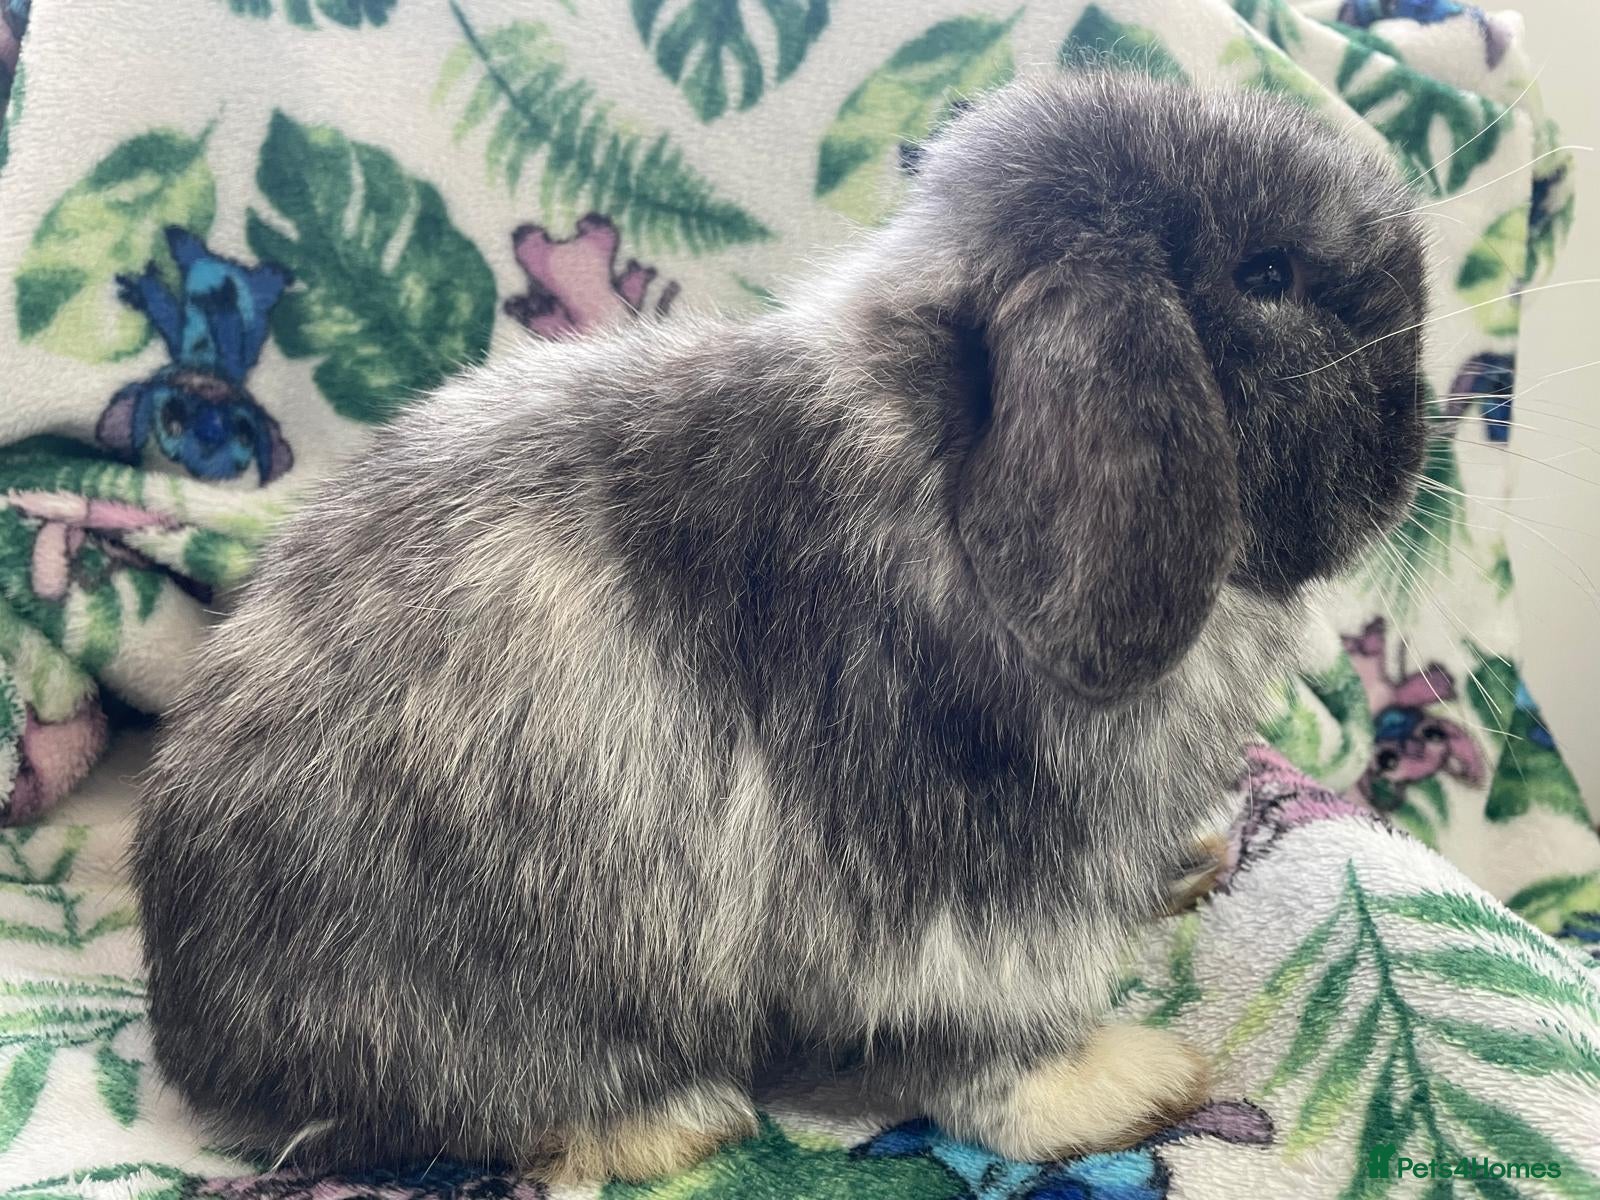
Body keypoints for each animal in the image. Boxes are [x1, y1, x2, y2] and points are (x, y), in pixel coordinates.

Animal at [132, 72, 1427, 1181]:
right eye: (1266, 276)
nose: (1418, 427)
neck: (940, 468)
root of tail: (195, 1046)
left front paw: (1187, 866)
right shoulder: (952, 904)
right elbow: (992, 1052)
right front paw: (1128, 1087)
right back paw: (676, 1120)